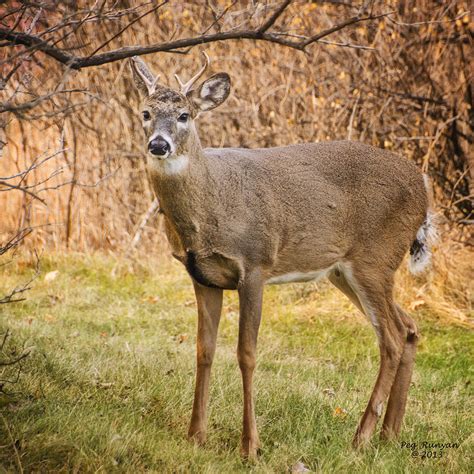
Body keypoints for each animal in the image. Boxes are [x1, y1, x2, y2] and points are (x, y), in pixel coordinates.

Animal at [127, 52, 436, 460]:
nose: (159, 145)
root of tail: (424, 184)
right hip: (345, 270)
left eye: (184, 116)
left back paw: (361, 437)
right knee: (409, 326)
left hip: (375, 257)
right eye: (145, 113)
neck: (211, 205)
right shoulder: (201, 276)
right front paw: (195, 436)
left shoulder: (255, 263)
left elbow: (246, 353)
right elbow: (203, 350)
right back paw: (390, 434)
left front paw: (250, 445)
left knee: (393, 336)